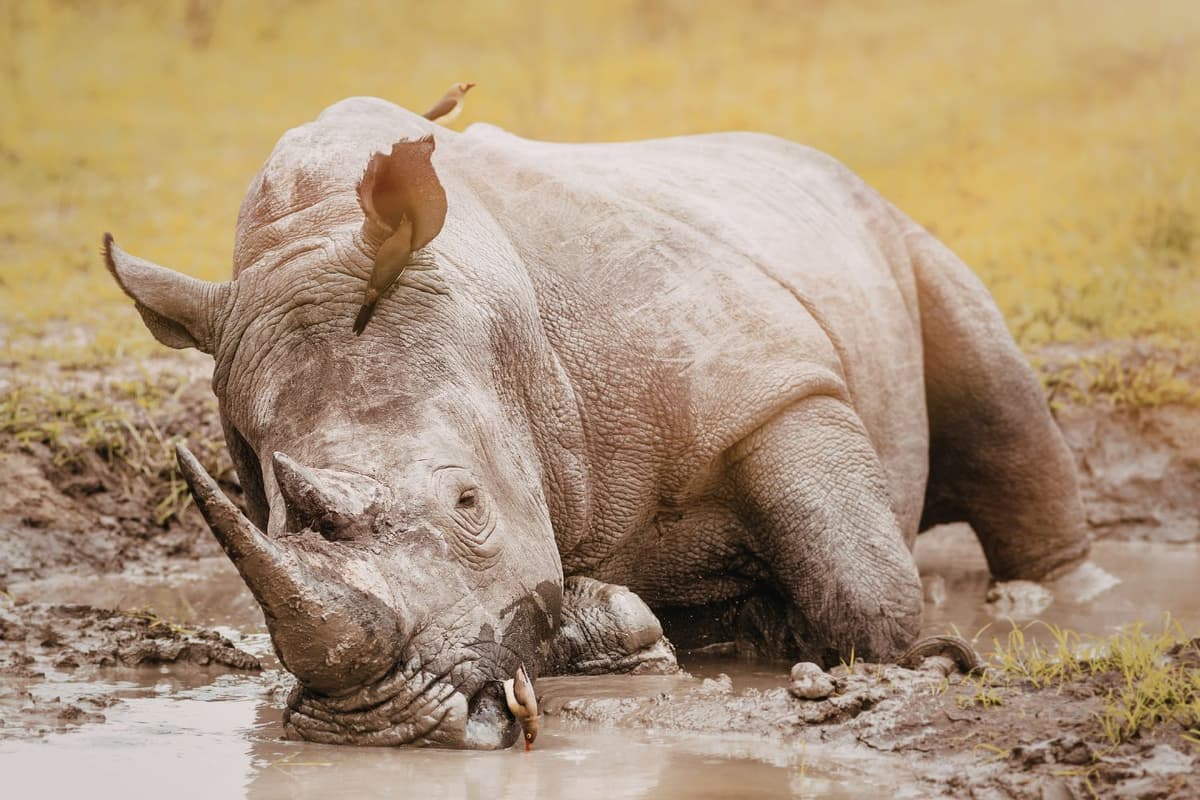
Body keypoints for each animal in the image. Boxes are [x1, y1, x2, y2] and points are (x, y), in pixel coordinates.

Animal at [103, 97, 1090, 749]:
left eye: (469, 505)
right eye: (266, 516)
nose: (378, 728)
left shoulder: (768, 382)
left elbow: (857, 579)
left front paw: (910, 663)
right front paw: (634, 633)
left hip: (886, 222)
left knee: (996, 394)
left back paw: (1044, 599)